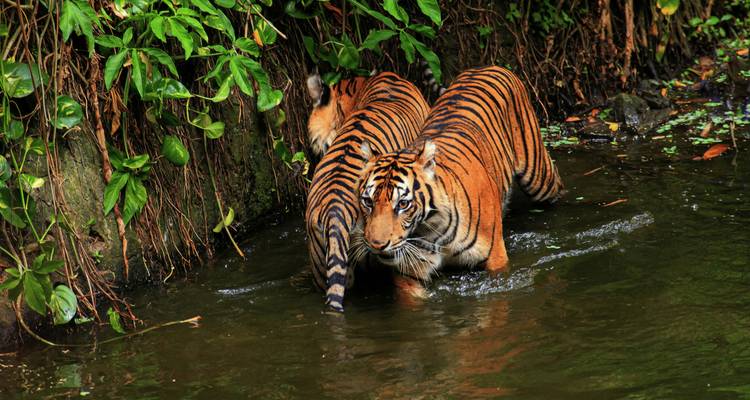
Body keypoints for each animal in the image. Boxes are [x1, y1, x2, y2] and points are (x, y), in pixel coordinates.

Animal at [353, 66, 564, 291]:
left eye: (403, 204)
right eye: (367, 201)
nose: (376, 245)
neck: (432, 229)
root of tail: (488, 66)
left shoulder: (495, 258)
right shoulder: (410, 273)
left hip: (539, 177)